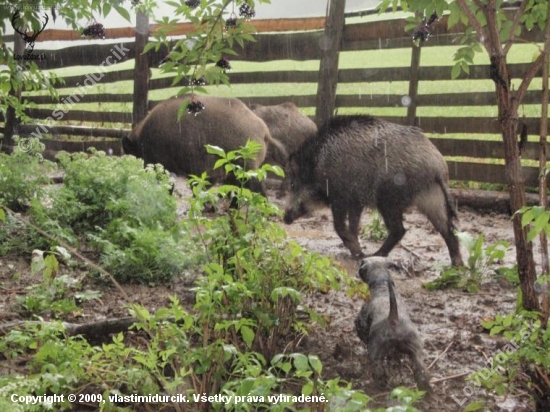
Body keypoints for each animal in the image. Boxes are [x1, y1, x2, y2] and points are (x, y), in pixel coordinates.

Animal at [356, 258, 434, 392]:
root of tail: (394, 319)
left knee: (379, 371)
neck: (382, 284)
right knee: (422, 373)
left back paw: (381, 386)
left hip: (376, 352)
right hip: (416, 352)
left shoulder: (362, 318)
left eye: (362, 262)